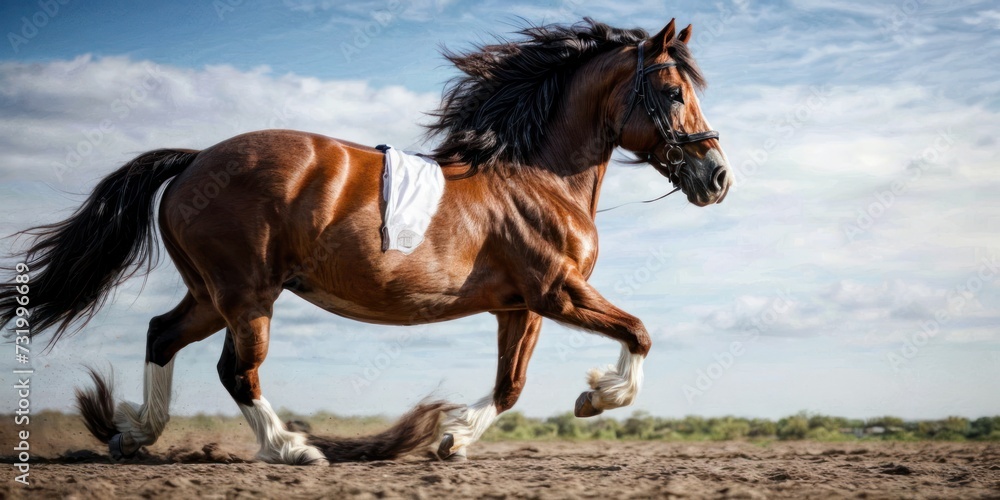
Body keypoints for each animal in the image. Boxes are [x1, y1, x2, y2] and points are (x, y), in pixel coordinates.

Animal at [0, 18, 731, 464]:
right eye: (672, 92)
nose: (717, 177)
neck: (536, 175)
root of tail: (193, 161)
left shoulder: (519, 306)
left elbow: (511, 384)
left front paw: (452, 438)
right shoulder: (557, 291)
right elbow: (638, 333)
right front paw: (596, 397)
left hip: (212, 293)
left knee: (161, 333)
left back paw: (133, 433)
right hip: (249, 295)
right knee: (236, 369)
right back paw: (292, 449)